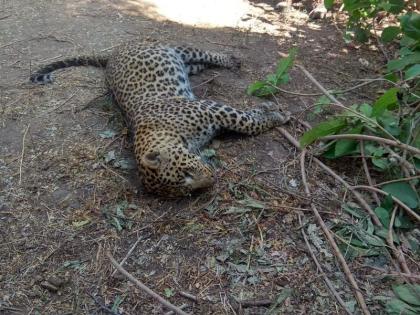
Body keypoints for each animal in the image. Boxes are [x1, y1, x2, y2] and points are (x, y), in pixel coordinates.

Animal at [30, 40, 288, 198]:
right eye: (186, 191)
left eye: (186, 173)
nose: (212, 180)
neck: (164, 132)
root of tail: (111, 55)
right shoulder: (216, 119)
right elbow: (249, 120)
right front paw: (269, 109)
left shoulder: (212, 108)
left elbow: (248, 123)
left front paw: (278, 114)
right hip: (184, 65)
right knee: (197, 65)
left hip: (176, 49)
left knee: (205, 54)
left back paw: (231, 61)